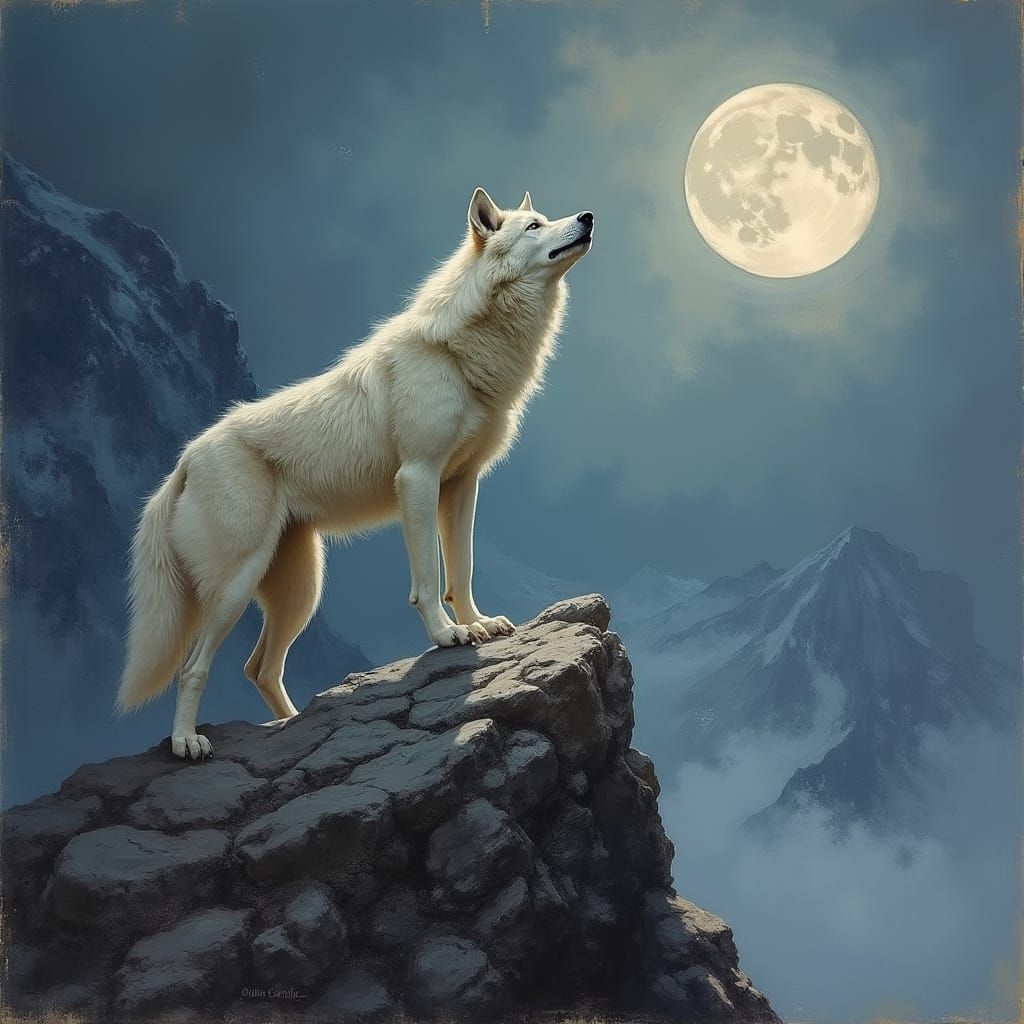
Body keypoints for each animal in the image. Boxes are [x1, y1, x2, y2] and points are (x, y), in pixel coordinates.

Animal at [116, 187, 593, 759]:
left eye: (546, 218)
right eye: (533, 226)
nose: (588, 216)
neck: (461, 352)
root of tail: (185, 458)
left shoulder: (461, 485)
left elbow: (461, 570)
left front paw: (478, 624)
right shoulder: (418, 478)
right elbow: (429, 579)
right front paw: (446, 635)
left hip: (301, 591)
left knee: (259, 668)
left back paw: (290, 725)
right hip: (237, 586)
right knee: (194, 667)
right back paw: (187, 741)